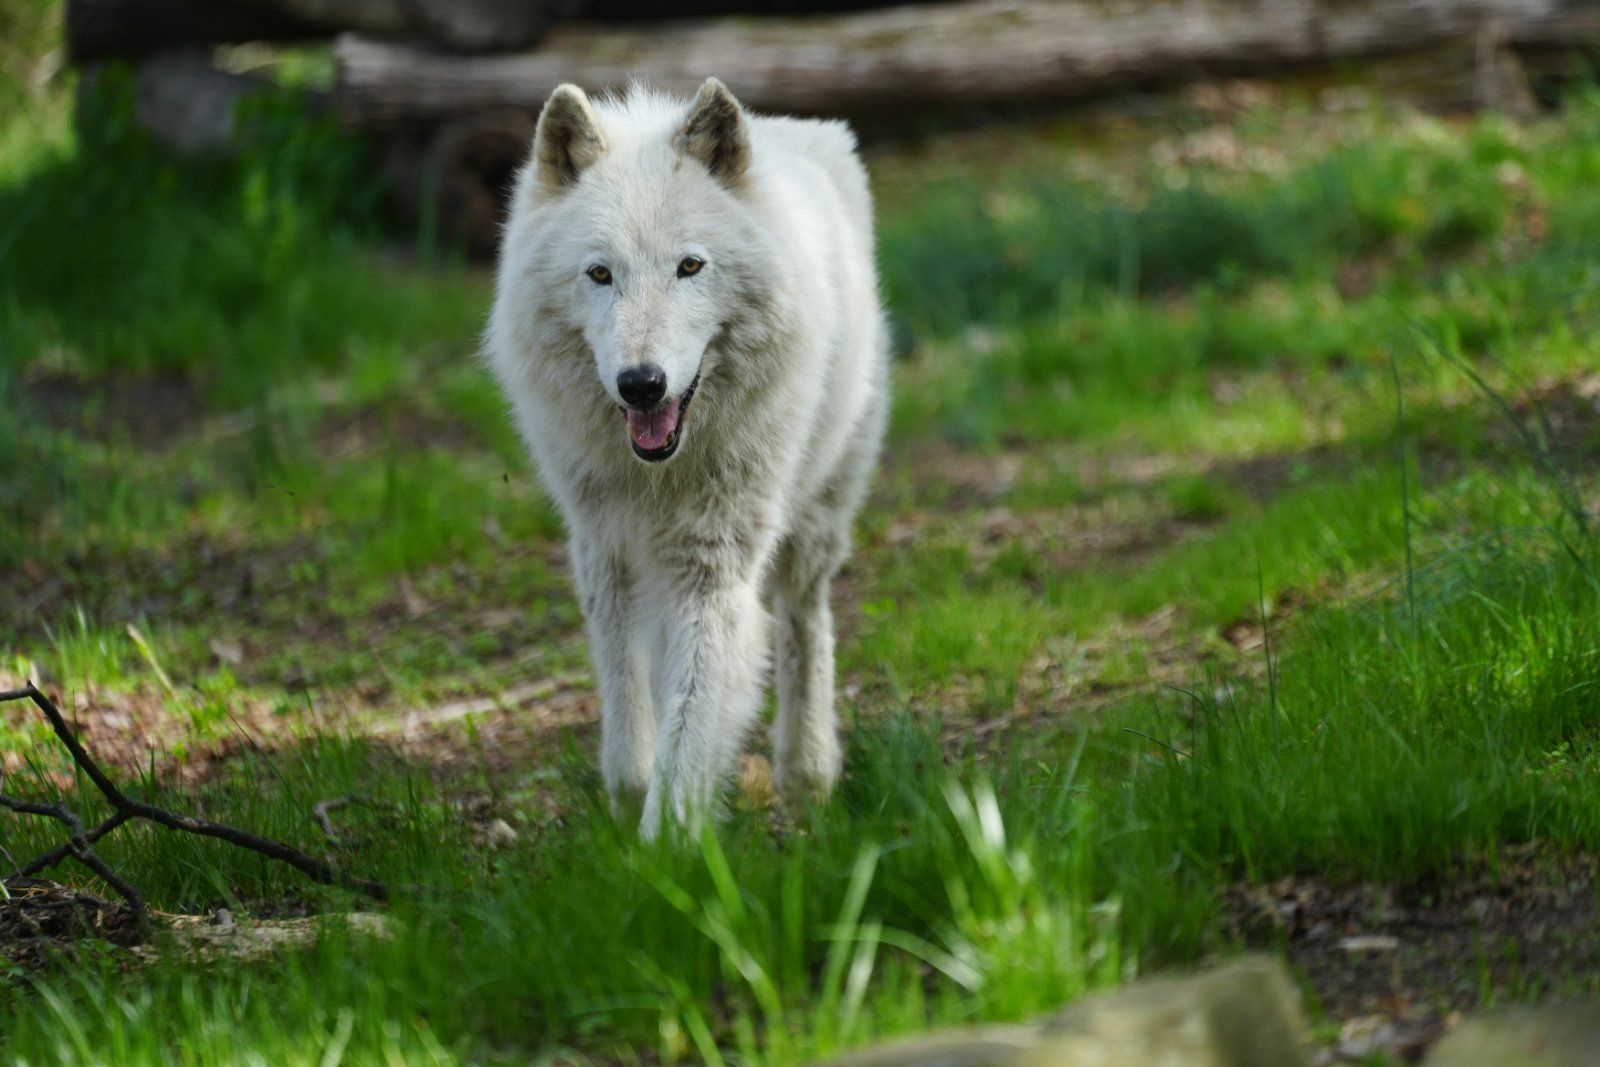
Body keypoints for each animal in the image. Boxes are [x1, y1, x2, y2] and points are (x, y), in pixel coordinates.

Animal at [486, 78, 889, 835]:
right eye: (600, 274)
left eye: (690, 266)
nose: (642, 383)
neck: (661, 474)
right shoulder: (604, 549)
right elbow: (629, 697)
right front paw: (629, 799)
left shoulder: (714, 567)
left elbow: (694, 717)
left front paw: (667, 845)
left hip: (818, 514)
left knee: (803, 621)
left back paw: (807, 770)